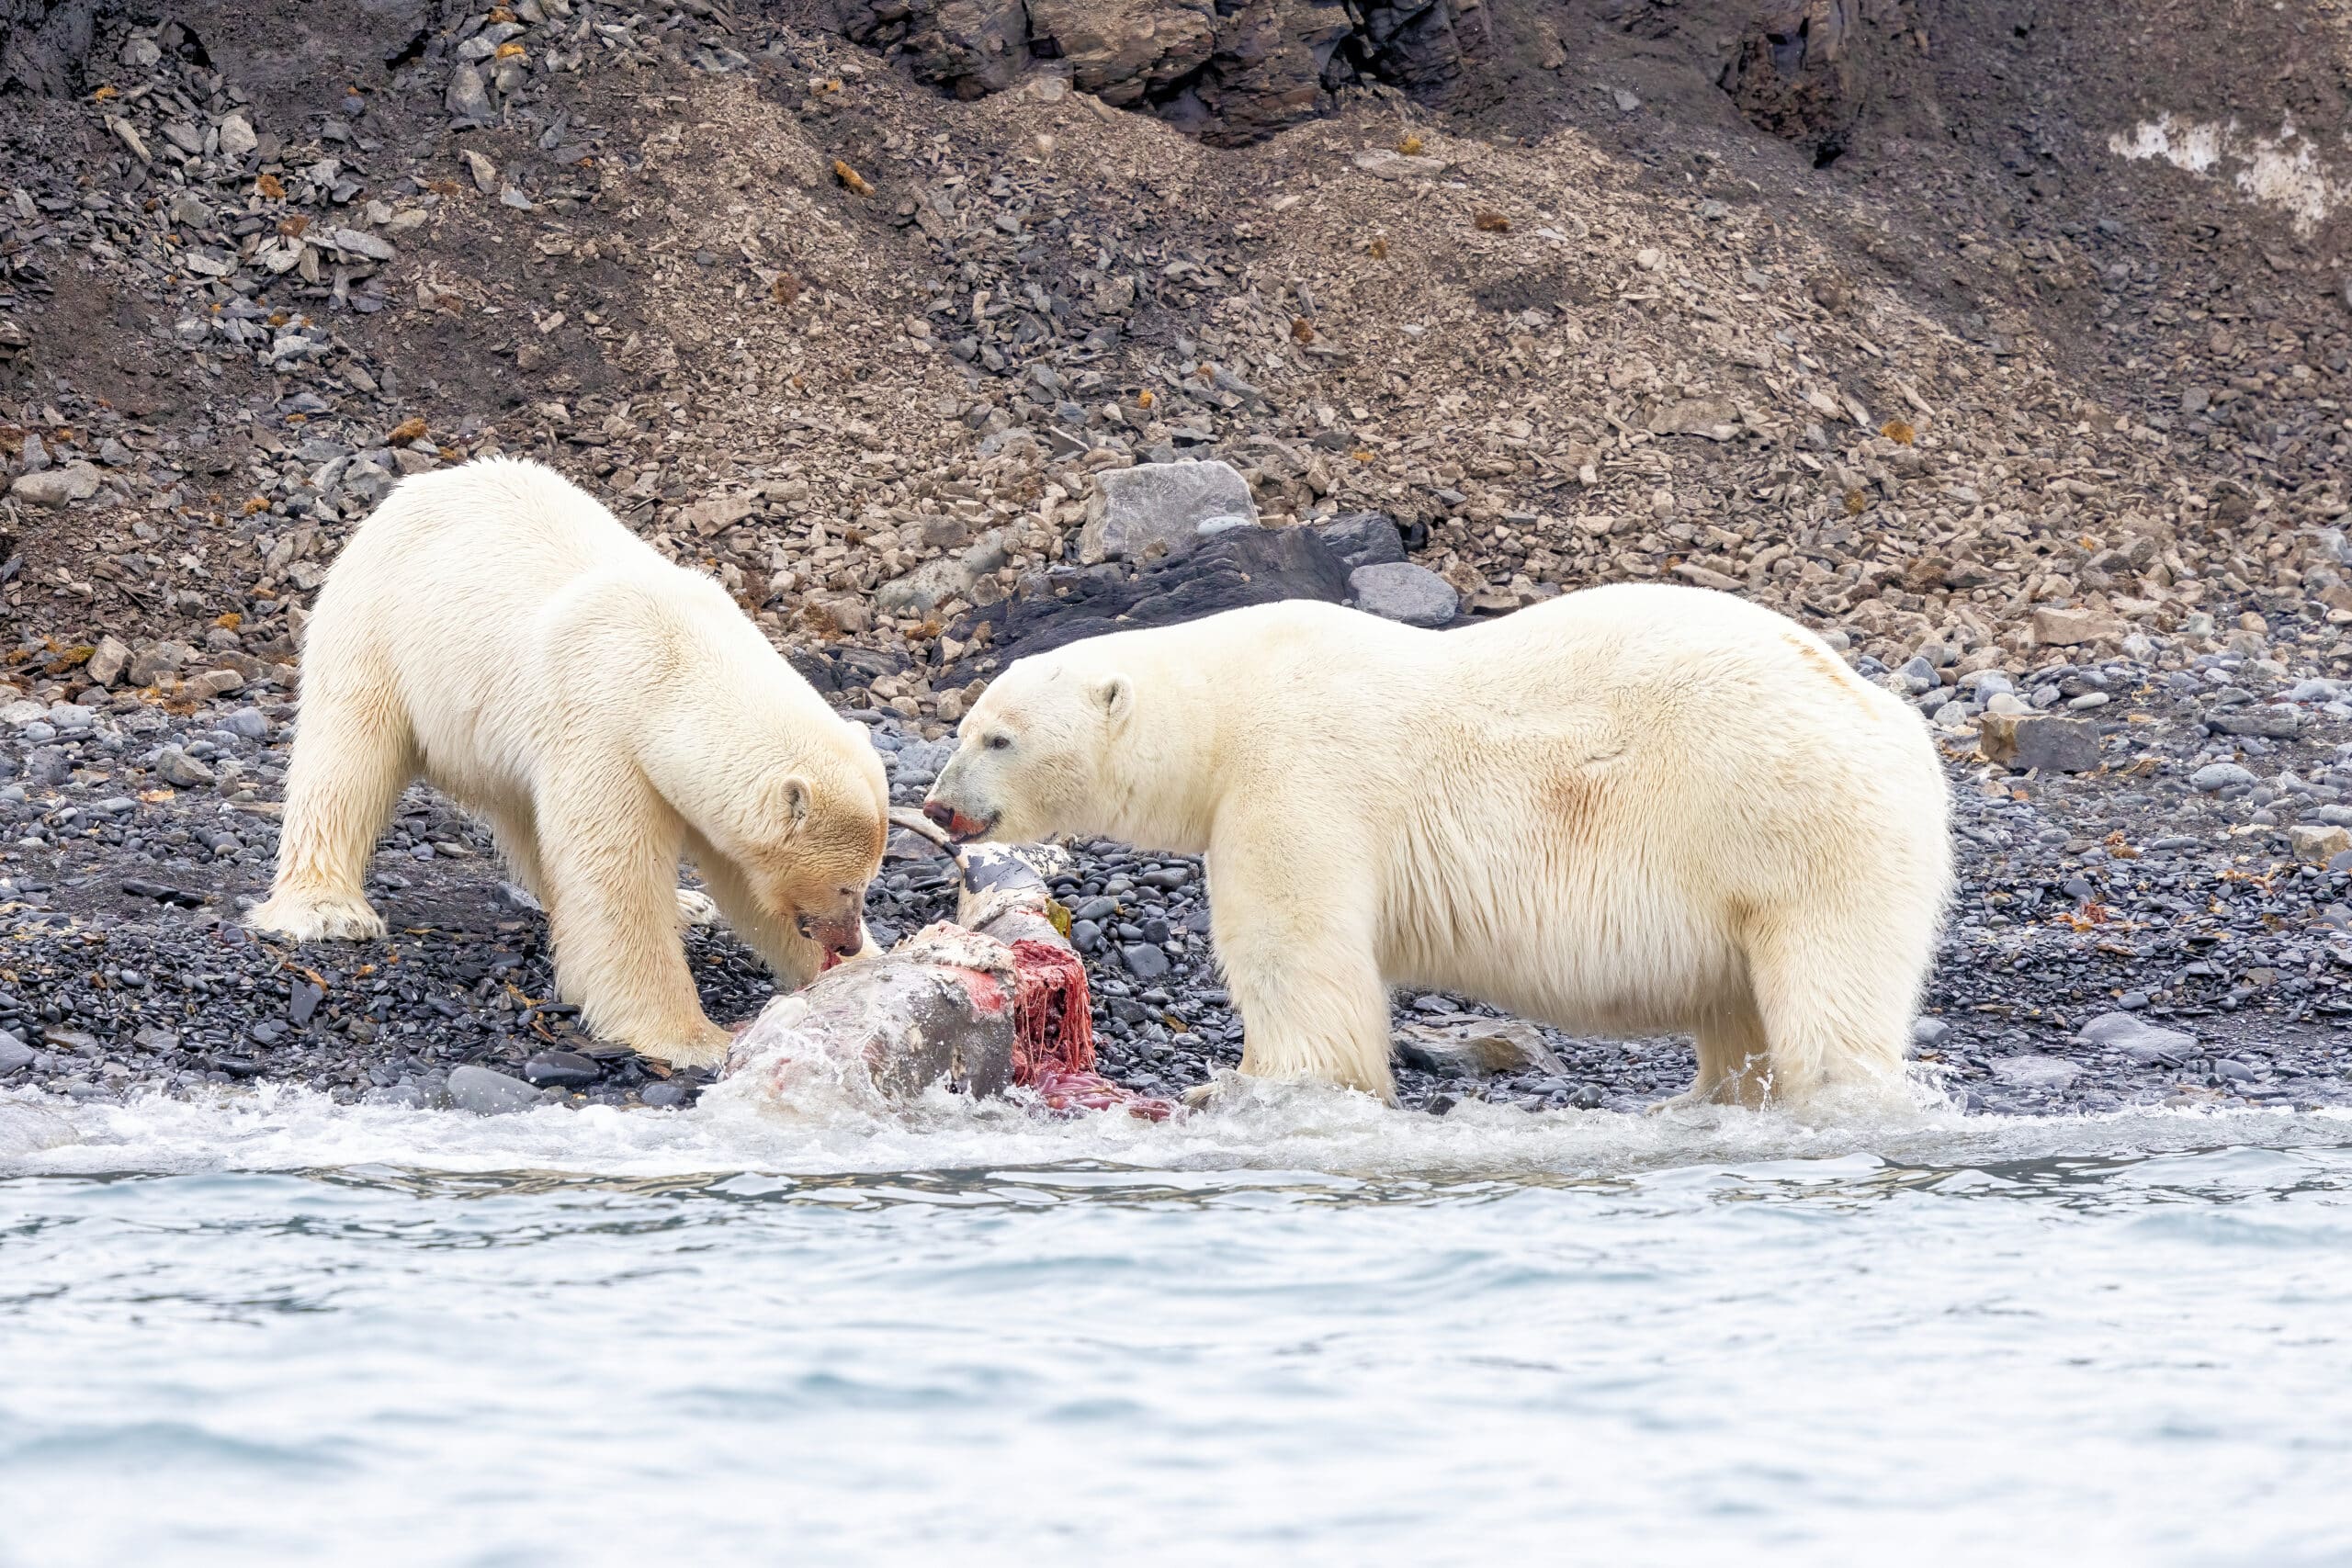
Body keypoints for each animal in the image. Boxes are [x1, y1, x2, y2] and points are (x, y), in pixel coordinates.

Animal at [248, 457, 890, 1067]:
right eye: (846, 887)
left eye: (867, 883)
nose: (848, 941)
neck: (674, 660)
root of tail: (415, 489)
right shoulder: (604, 727)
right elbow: (614, 871)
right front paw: (692, 1038)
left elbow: (743, 880)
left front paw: (871, 973)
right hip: (379, 627)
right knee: (349, 755)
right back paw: (328, 909)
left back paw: (684, 905)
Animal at [923, 583, 1953, 1108]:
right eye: (965, 724)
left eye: (999, 738)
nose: (940, 807)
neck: (1225, 705)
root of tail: (1887, 717)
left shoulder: (1298, 776)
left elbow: (1294, 945)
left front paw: (1258, 1084)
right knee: (1737, 1005)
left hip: (1791, 820)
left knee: (1828, 986)